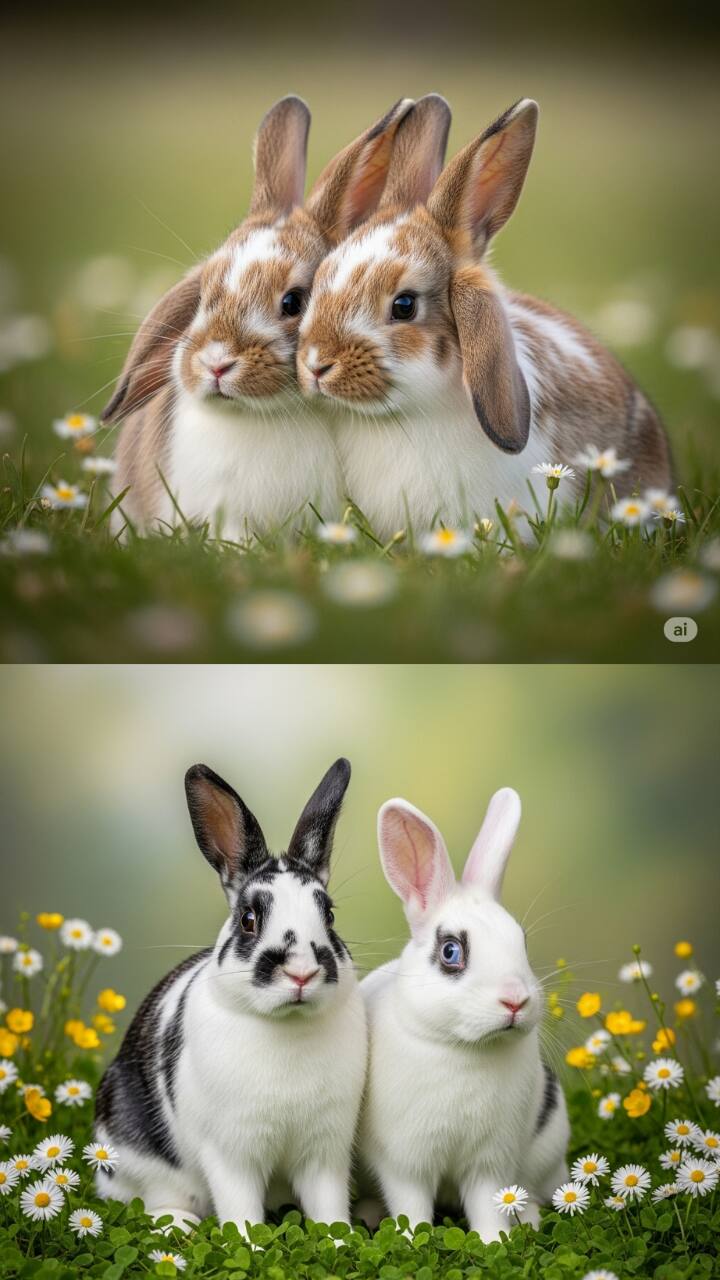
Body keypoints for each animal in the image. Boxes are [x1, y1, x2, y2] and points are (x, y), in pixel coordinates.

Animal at [94, 758, 367, 1233]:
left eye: (329, 915)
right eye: (248, 919)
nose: (301, 972)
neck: (287, 1029)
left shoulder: (325, 1153)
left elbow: (328, 1208)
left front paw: (340, 1240)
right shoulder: (230, 1154)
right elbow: (240, 1211)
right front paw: (251, 1242)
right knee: (149, 1198)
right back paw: (176, 1222)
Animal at [357, 787, 569, 1241]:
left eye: (522, 941)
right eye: (451, 951)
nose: (515, 1000)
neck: (463, 1049)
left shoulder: (490, 1162)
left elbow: (489, 1205)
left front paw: (494, 1242)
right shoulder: (405, 1163)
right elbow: (411, 1207)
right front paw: (411, 1241)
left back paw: (528, 1219)